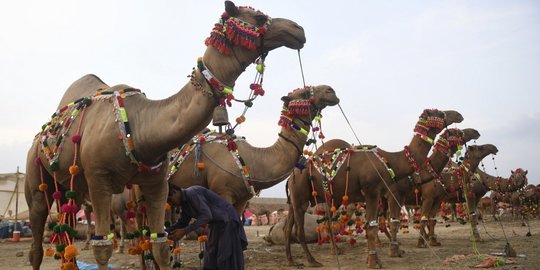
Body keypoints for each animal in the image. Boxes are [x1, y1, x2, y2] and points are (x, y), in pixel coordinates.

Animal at [23, 1, 306, 268]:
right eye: (258, 17)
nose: (298, 30)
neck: (138, 127)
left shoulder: (157, 183)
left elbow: (160, 244)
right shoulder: (99, 179)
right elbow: (102, 249)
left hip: (70, 187)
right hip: (39, 177)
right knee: (36, 239)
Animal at [282, 108, 464, 268]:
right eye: (439, 113)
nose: (459, 115)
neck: (390, 161)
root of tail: (291, 175)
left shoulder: (380, 195)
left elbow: (376, 225)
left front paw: (377, 258)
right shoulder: (373, 191)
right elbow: (372, 227)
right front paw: (374, 262)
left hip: (302, 198)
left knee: (289, 227)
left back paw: (291, 260)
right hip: (301, 195)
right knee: (300, 229)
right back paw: (312, 260)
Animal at [384, 127, 480, 256]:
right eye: (458, 132)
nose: (476, 132)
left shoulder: (436, 200)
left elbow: (431, 219)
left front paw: (433, 241)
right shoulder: (425, 198)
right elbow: (423, 219)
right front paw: (421, 243)